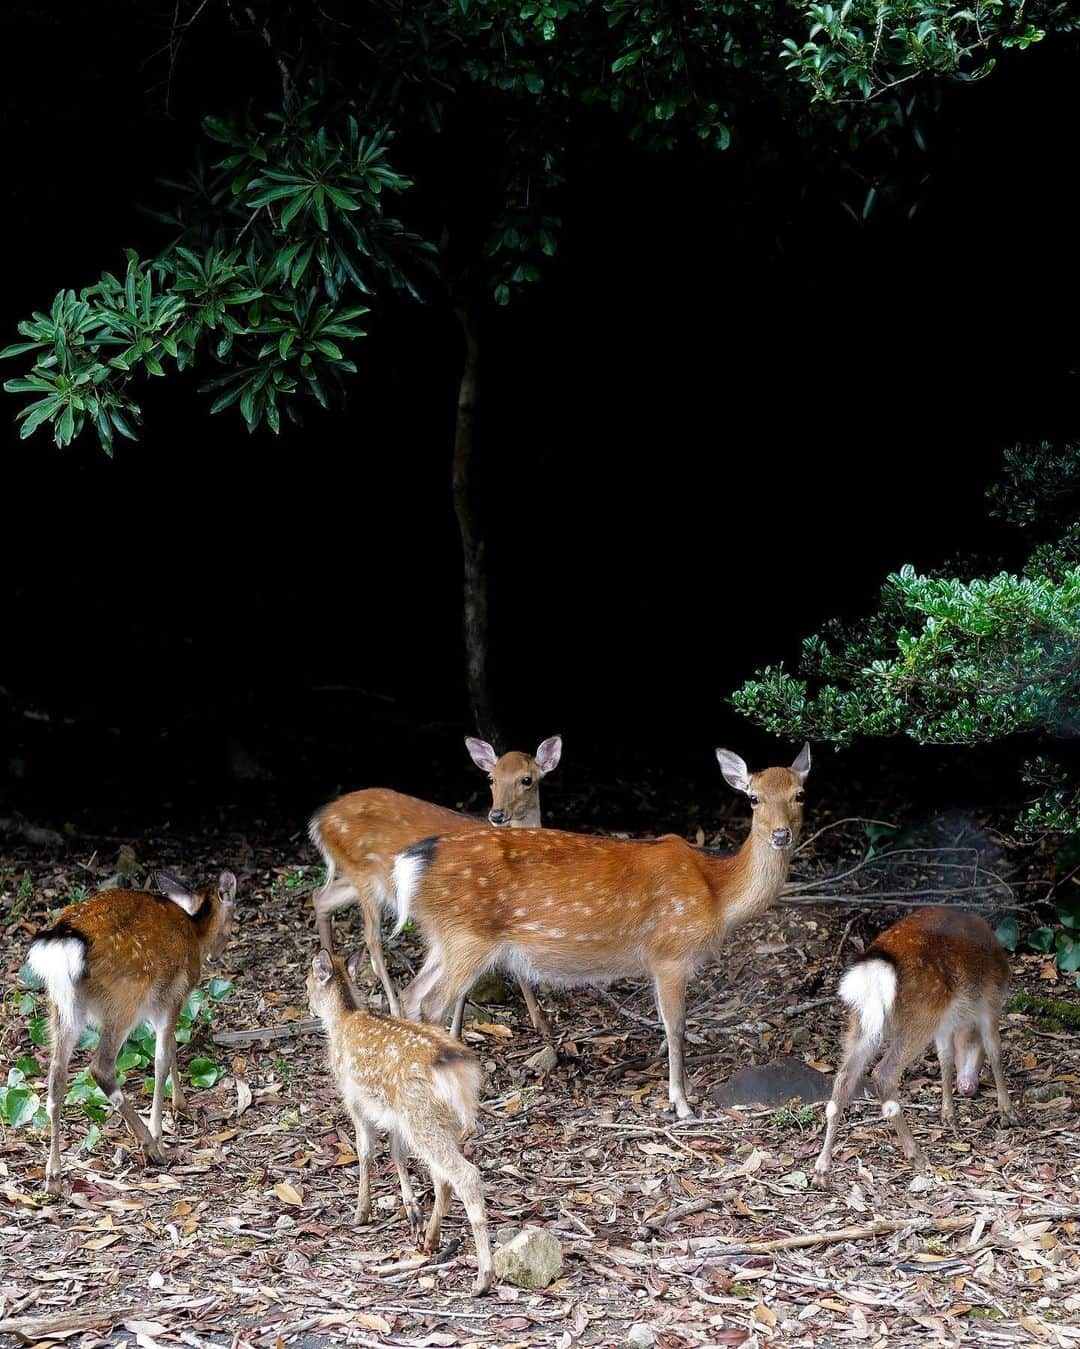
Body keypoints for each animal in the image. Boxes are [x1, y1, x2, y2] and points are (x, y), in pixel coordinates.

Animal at [25, 863, 235, 1192]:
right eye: (233, 918)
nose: (216, 956)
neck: (195, 933)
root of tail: (63, 943)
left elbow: (171, 1048)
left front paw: (181, 1104)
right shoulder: (172, 997)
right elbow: (162, 1058)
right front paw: (160, 1130)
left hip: (62, 1006)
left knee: (56, 1076)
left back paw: (53, 1176)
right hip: (125, 1000)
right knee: (100, 1067)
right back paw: (150, 1146)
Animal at [300, 949, 490, 1295]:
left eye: (308, 983)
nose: (307, 1003)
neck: (344, 1020)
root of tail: (457, 1070)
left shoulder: (353, 1098)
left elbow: (365, 1151)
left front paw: (361, 1212)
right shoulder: (392, 1115)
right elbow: (396, 1152)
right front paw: (411, 1209)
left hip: (420, 1116)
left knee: (464, 1175)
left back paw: (483, 1277)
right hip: (440, 1120)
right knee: (443, 1177)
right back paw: (430, 1239)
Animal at [307, 733, 560, 1025]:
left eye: (527, 779)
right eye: (492, 778)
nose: (496, 814)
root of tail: (318, 822)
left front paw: (542, 1025)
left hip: (363, 878)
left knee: (321, 897)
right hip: (364, 876)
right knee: (372, 939)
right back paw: (392, 1007)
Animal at [393, 739, 808, 1116]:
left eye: (800, 794)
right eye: (753, 798)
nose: (781, 835)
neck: (717, 896)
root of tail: (411, 863)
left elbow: (666, 1023)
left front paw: (685, 1090)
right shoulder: (670, 953)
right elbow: (675, 1027)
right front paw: (681, 1103)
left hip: (443, 938)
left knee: (410, 994)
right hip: (469, 936)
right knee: (431, 1004)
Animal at [814, 906, 1013, 1181]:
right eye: (977, 1052)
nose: (967, 1088)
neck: (965, 1019)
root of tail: (877, 967)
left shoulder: (945, 1024)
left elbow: (945, 1057)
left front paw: (948, 1113)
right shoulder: (990, 1001)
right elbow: (995, 1049)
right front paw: (1008, 1111)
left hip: (862, 1020)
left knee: (843, 1077)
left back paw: (821, 1168)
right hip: (921, 1016)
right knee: (883, 1073)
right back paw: (916, 1154)